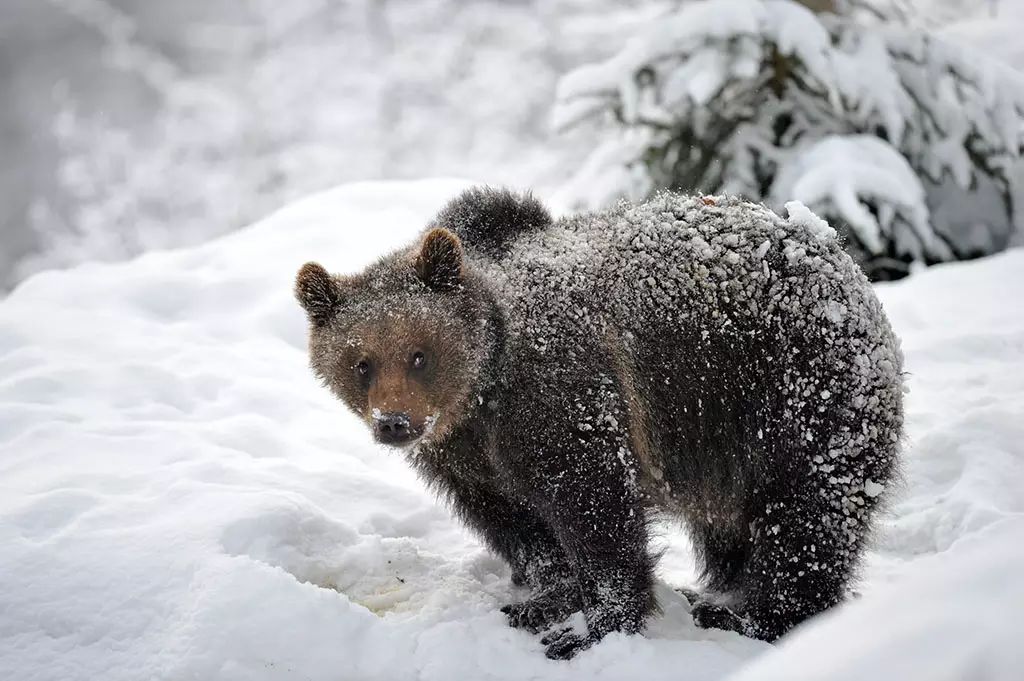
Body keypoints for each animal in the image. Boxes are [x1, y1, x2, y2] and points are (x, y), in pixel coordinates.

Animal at [294, 186, 905, 659]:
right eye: (361, 362)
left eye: (419, 354)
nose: (394, 422)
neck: (480, 397)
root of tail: (835, 251)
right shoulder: (467, 460)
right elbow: (516, 523)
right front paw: (545, 599)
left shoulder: (563, 399)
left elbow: (595, 510)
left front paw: (592, 628)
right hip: (721, 436)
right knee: (734, 524)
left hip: (788, 387)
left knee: (808, 513)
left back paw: (755, 616)